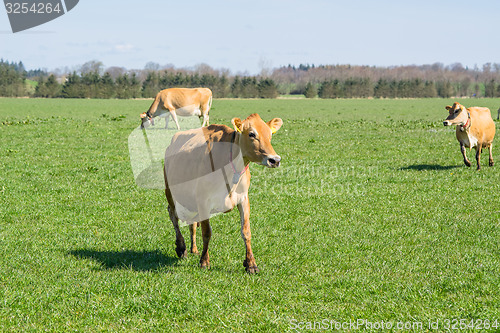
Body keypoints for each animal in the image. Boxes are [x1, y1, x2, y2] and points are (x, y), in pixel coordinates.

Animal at [163, 113, 284, 272]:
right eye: (252, 134)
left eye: (270, 135)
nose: (275, 160)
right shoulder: (203, 200)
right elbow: (206, 232)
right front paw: (204, 261)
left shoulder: (243, 199)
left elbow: (246, 231)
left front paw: (251, 264)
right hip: (170, 191)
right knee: (173, 216)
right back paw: (181, 247)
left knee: (191, 222)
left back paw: (194, 249)